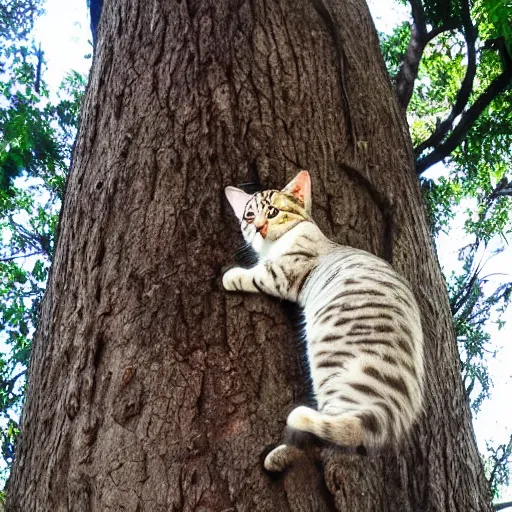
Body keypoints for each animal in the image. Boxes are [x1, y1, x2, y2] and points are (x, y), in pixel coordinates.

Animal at [223, 171, 424, 472]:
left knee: (342, 429)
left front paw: (229, 275)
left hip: (336, 373)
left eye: (273, 212)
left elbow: (254, 274)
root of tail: (396, 410)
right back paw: (279, 458)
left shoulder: (282, 273)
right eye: (248, 216)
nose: (258, 228)